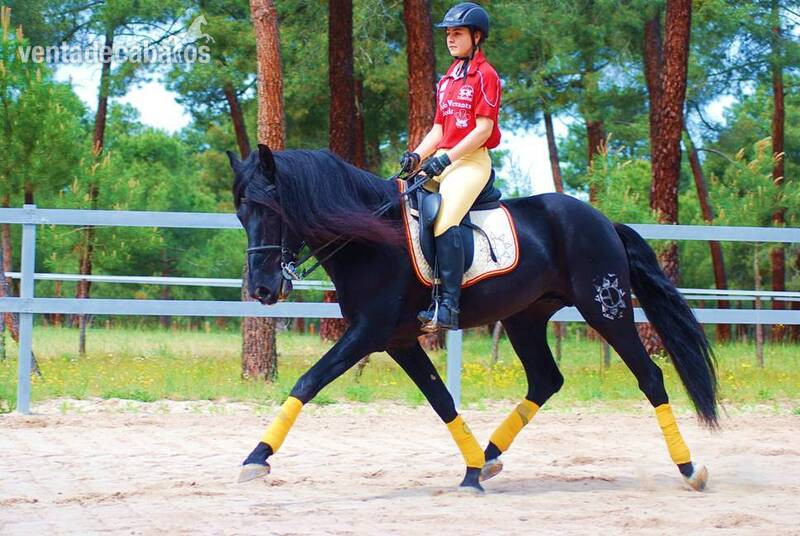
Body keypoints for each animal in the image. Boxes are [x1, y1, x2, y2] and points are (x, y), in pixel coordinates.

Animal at [229, 144, 717, 493]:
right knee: (546, 380)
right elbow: (441, 400)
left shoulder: (369, 332)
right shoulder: (398, 339)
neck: (372, 237)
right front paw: (470, 470)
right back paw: (490, 457)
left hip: (605, 309)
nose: (263, 290)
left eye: (272, 210)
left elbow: (308, 381)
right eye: (240, 213)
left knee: (649, 376)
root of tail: (603, 221)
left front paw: (256, 458)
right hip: (525, 318)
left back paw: (689, 467)